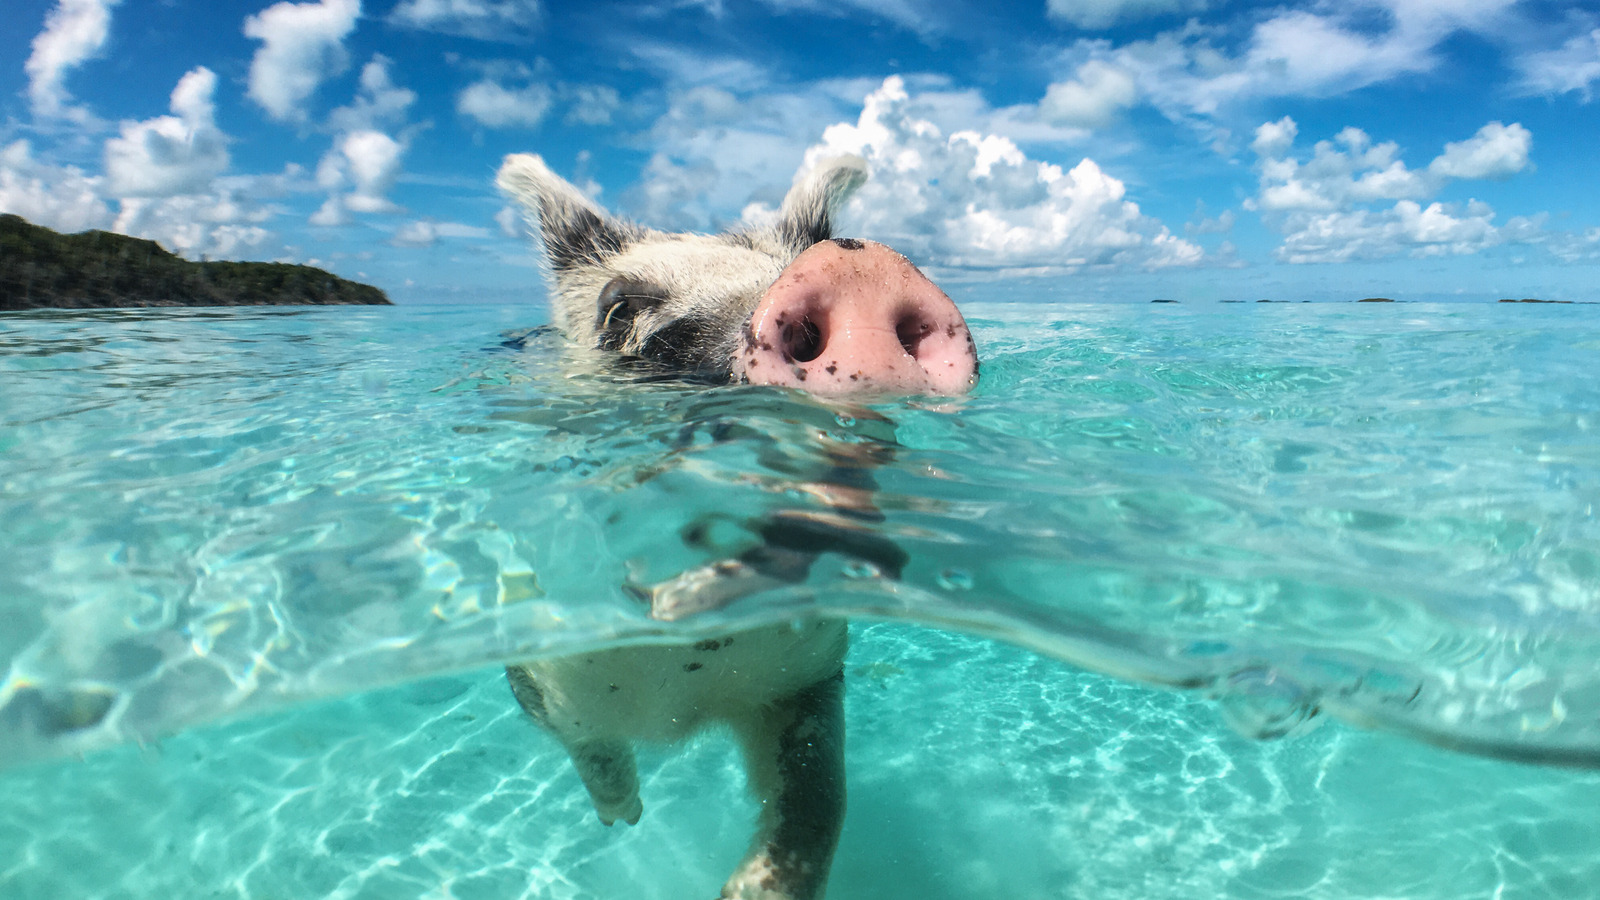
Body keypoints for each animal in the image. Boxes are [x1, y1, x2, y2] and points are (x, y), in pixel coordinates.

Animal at [496, 153, 972, 896]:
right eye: (617, 309)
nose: (858, 267)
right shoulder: (537, 664)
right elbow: (587, 742)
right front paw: (622, 818)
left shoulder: (809, 677)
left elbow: (819, 793)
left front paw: (742, 888)